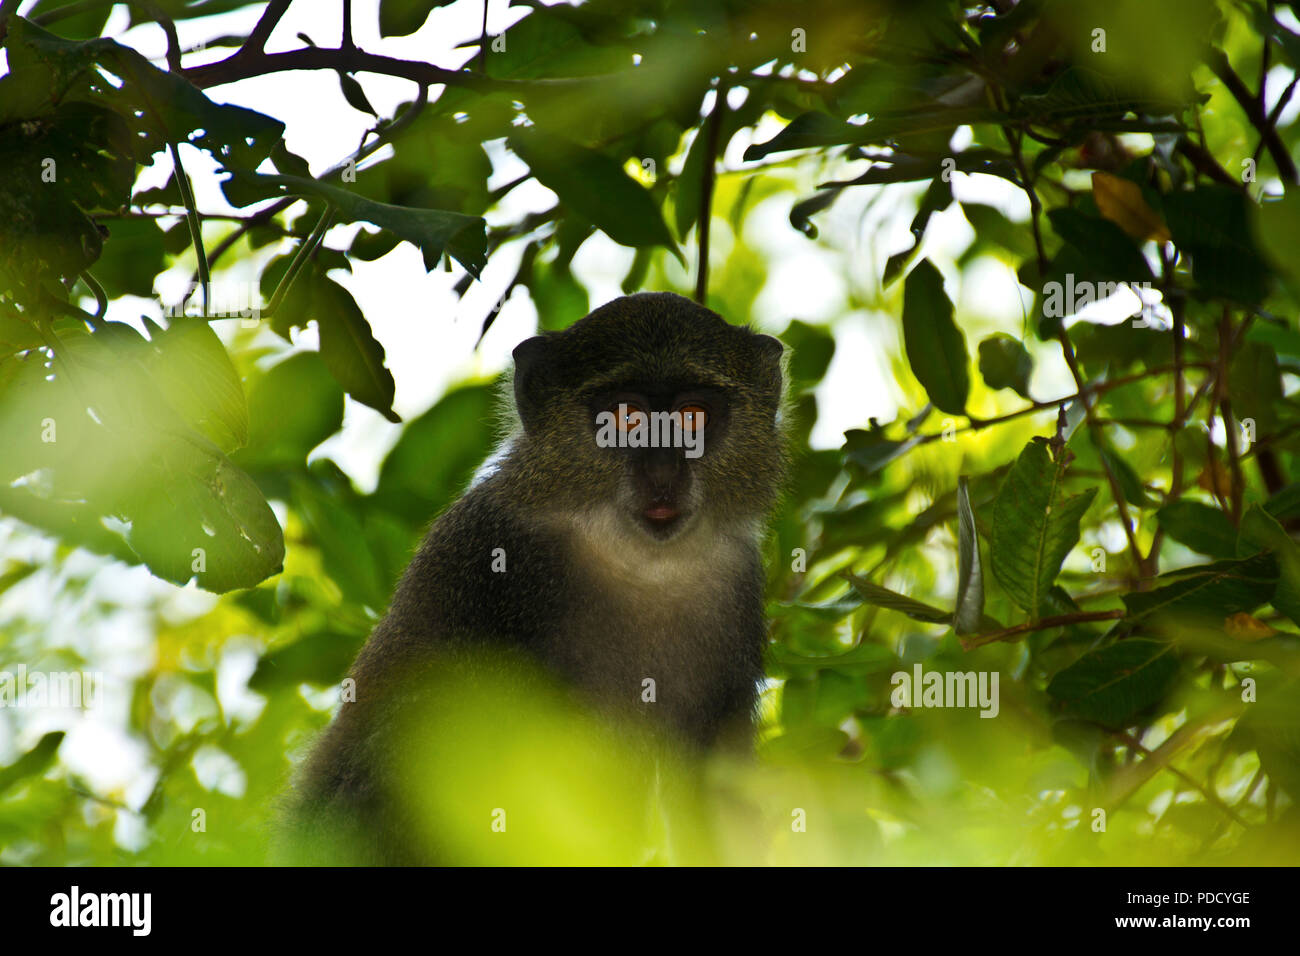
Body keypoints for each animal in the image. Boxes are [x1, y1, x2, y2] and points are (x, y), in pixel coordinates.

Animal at [281, 291, 786, 865]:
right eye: (626, 417)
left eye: (691, 418)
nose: (662, 473)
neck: (639, 562)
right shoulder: (489, 543)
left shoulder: (737, 583)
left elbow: (713, 793)